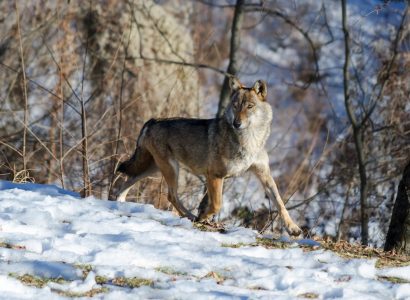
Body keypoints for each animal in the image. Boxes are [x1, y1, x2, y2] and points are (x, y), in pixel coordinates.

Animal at [117, 77, 302, 237]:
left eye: (249, 106)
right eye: (235, 106)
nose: (236, 123)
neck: (250, 139)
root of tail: (152, 120)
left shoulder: (264, 174)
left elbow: (280, 203)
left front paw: (293, 228)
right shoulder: (215, 175)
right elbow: (216, 204)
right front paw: (203, 217)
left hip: (154, 169)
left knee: (128, 181)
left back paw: (120, 203)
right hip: (170, 169)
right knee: (171, 196)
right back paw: (192, 216)